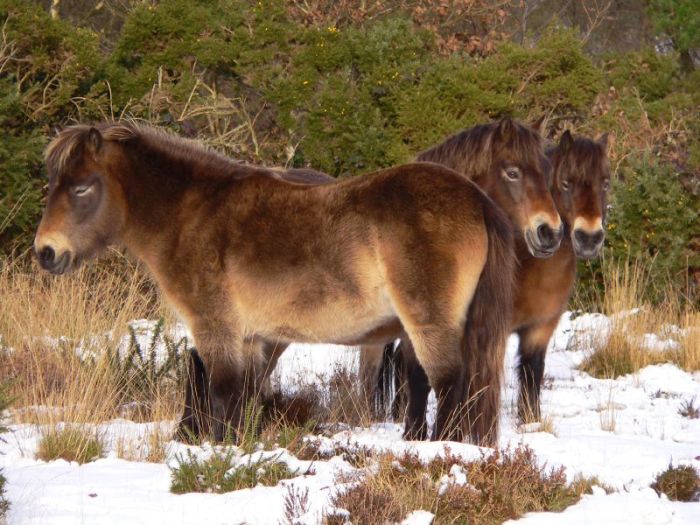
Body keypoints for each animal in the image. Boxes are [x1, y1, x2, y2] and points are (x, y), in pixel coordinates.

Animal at [34, 121, 514, 445]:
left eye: (81, 188)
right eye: (54, 184)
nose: (46, 252)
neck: (192, 215)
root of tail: (475, 198)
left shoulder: (217, 329)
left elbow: (222, 393)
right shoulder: (251, 339)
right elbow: (243, 400)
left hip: (429, 324)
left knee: (449, 385)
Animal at [371, 129, 611, 435]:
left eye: (605, 182)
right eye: (566, 183)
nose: (589, 238)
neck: (529, 268)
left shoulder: (540, 328)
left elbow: (532, 375)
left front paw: (530, 423)